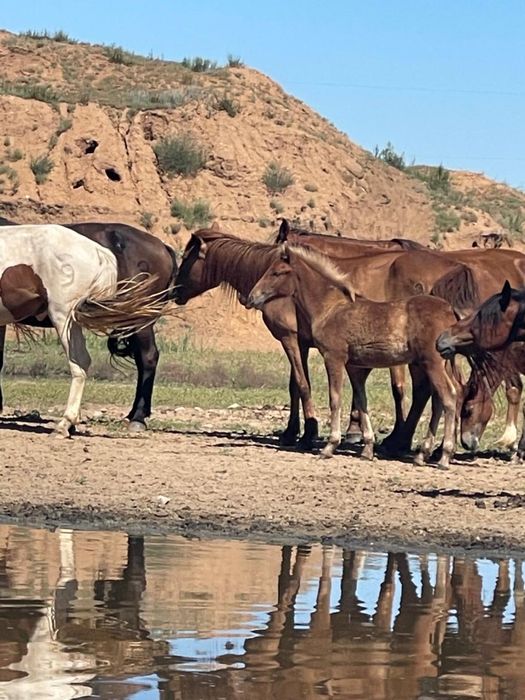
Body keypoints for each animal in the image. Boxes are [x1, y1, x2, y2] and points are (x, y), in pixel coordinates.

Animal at [246, 244, 459, 469]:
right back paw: (422, 454)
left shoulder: (334, 358)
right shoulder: (354, 367)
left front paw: (330, 446)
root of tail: (450, 311)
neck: (330, 309)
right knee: (439, 400)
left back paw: (444, 456)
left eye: (277, 272)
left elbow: (335, 399)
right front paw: (367, 449)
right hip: (438, 364)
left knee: (449, 397)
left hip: (432, 363)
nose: (251, 297)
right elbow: (361, 400)